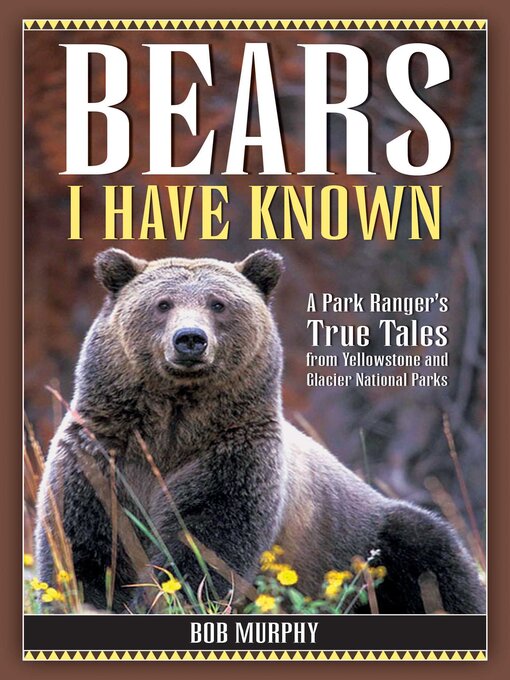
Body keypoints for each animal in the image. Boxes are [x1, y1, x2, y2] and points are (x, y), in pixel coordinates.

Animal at [35, 248, 486, 614]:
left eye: (218, 303)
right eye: (162, 303)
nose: (190, 339)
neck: (174, 424)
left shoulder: (233, 459)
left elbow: (206, 545)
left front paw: (179, 596)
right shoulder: (103, 451)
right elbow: (84, 543)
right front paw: (87, 599)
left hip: (363, 537)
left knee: (434, 557)